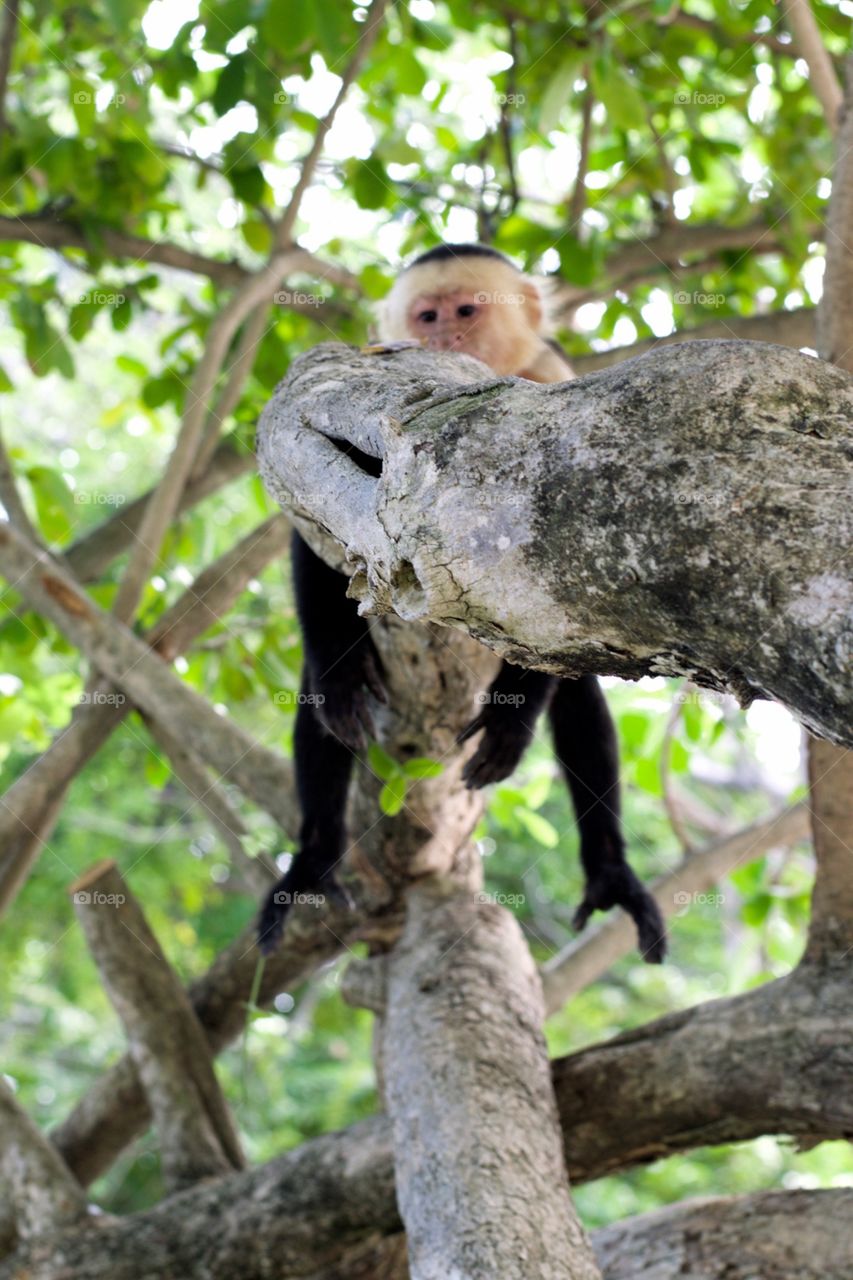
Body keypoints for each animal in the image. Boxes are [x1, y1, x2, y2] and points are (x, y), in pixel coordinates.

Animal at [257, 244, 666, 964]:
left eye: (466, 312)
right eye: (428, 317)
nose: (446, 339)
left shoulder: (549, 376)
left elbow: (551, 584)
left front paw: (512, 719)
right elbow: (318, 530)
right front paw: (338, 675)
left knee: (579, 696)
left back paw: (610, 870)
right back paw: (313, 858)